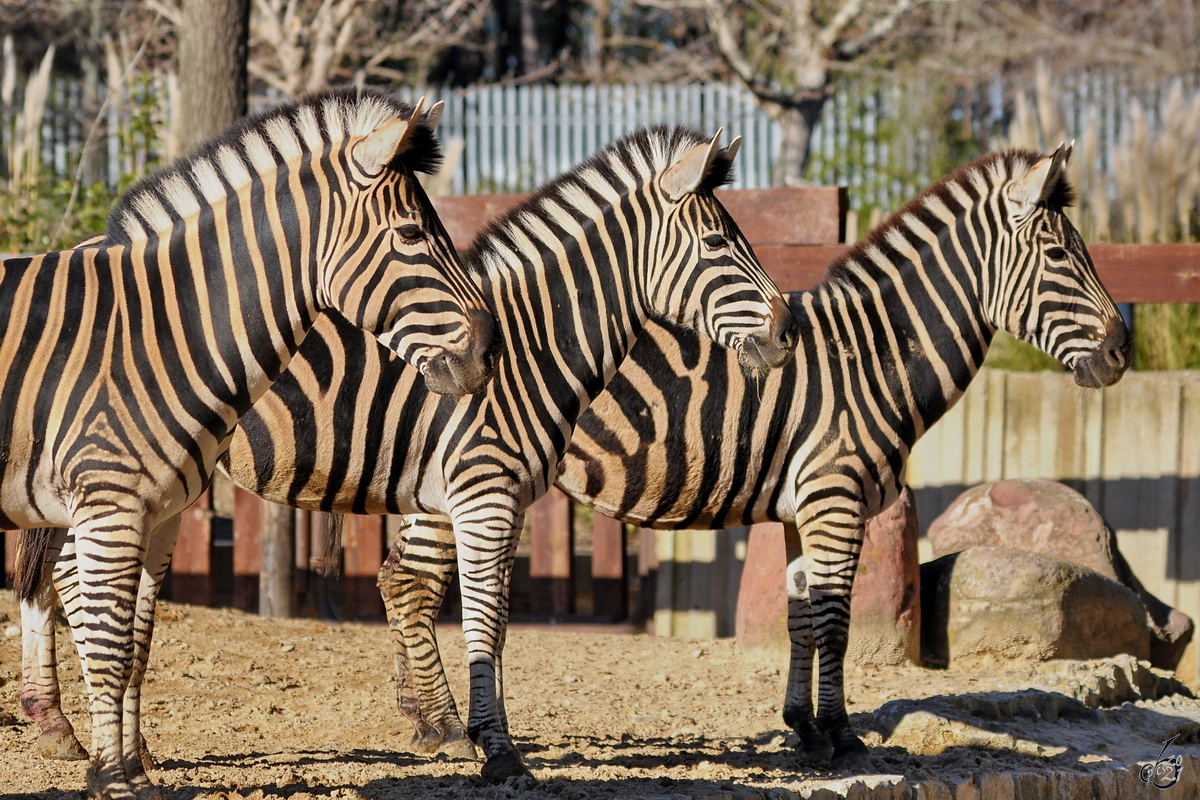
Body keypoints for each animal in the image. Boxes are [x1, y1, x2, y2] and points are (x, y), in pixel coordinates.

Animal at [1, 89, 496, 800]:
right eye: (410, 235)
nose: (490, 353)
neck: (165, 331)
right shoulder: (110, 505)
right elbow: (113, 643)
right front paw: (112, 779)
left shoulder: (152, 512)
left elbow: (134, 643)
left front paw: (129, 770)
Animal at [14, 125, 801, 782]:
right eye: (718, 246)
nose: (788, 330)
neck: (531, 348)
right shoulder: (483, 493)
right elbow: (482, 618)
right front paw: (492, 748)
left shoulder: (469, 495)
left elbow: (448, 601)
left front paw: (458, 729)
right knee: (66, 577)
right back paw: (84, 734)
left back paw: (98, 738)